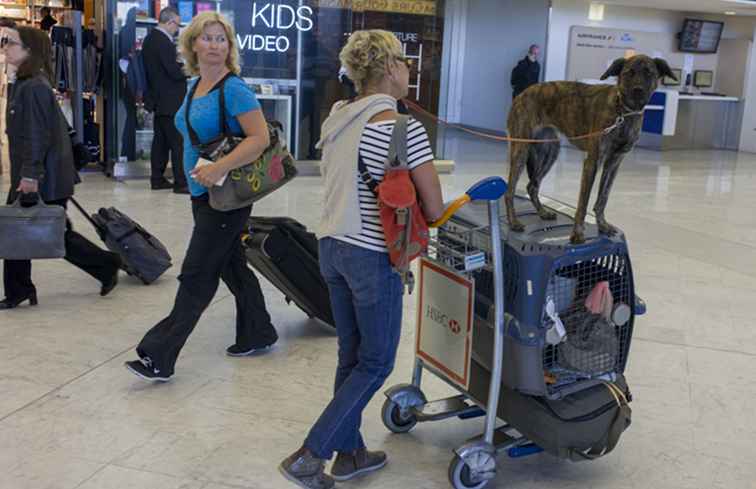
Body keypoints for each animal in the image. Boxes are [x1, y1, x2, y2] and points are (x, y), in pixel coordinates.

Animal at [504, 54, 676, 243]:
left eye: (649, 73)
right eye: (628, 73)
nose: (638, 90)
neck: (623, 112)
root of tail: (522, 94)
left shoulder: (613, 163)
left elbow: (603, 198)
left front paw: (602, 225)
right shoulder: (593, 161)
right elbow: (583, 202)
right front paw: (578, 233)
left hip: (550, 152)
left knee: (532, 186)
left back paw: (543, 212)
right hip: (521, 150)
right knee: (509, 191)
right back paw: (513, 222)